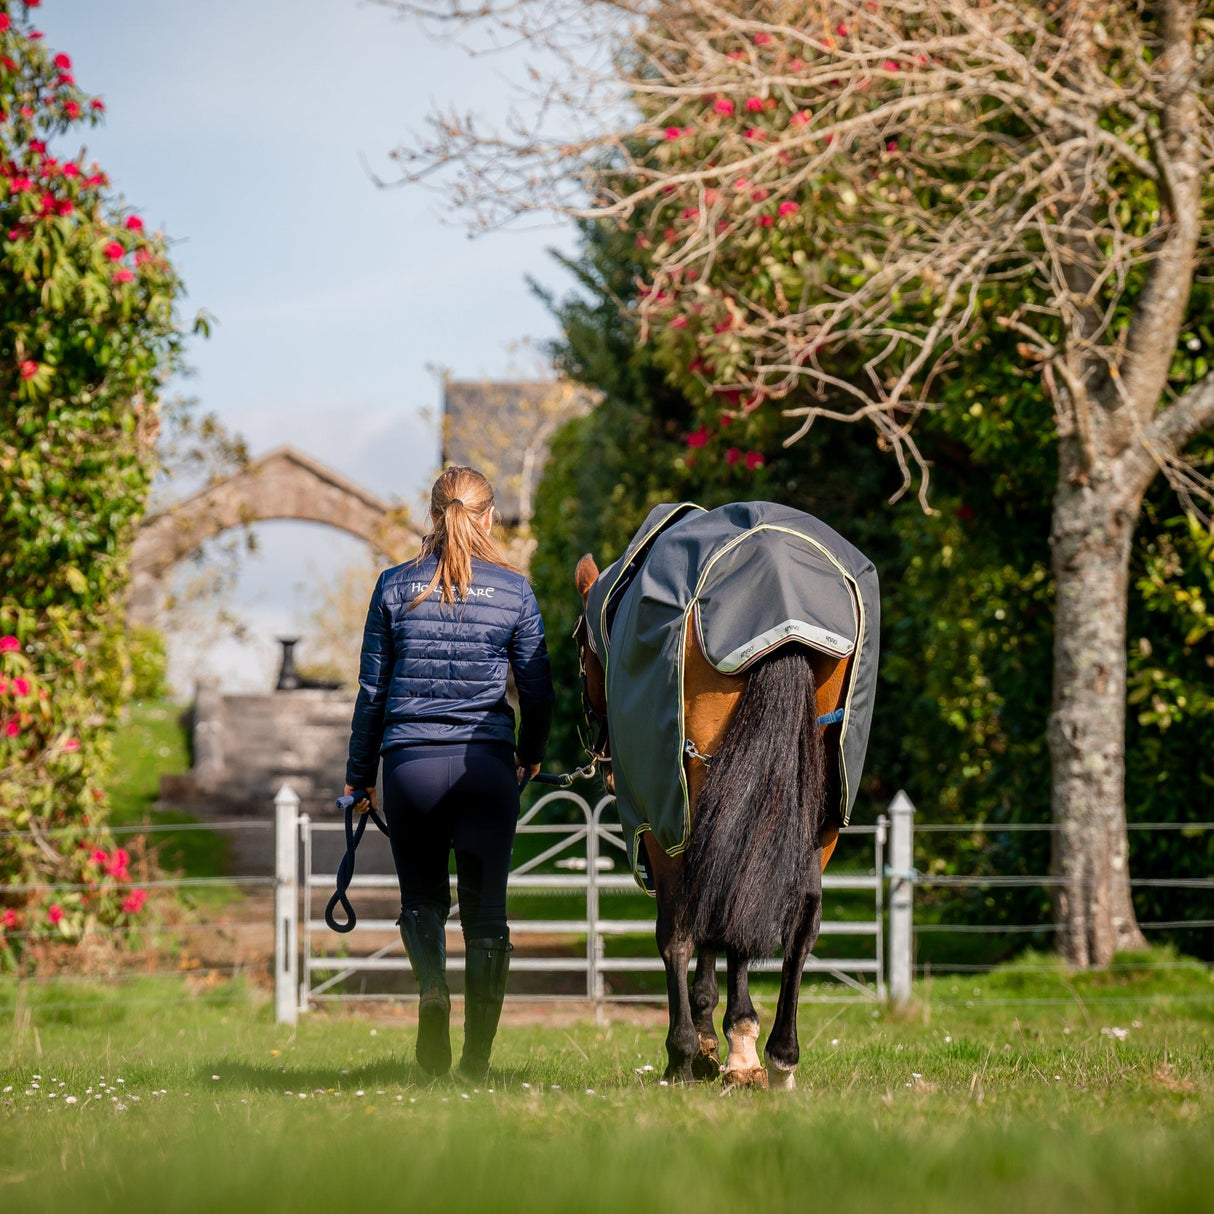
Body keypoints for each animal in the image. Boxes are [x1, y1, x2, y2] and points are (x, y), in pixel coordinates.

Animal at [573, 546, 859, 1097]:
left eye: (578, 648)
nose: (605, 763)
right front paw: (731, 1042)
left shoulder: (668, 827)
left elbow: (685, 933)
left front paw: (696, 1046)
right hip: (818, 821)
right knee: (798, 921)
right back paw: (779, 1056)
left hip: (676, 820)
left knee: (680, 933)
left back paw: (689, 1054)